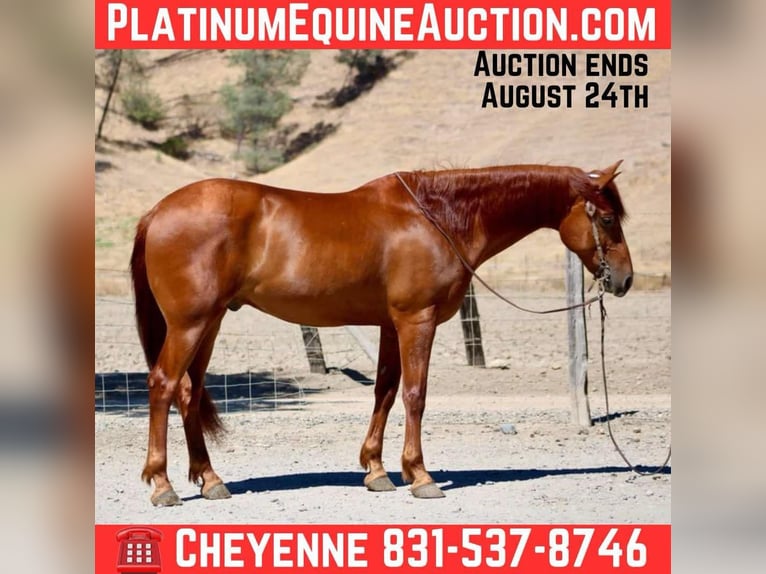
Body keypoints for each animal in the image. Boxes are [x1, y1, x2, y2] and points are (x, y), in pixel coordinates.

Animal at [130, 161, 632, 505]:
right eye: (608, 218)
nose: (625, 280)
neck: (437, 218)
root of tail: (157, 211)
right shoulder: (416, 320)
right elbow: (415, 395)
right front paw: (421, 476)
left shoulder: (391, 325)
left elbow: (386, 392)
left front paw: (376, 471)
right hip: (191, 323)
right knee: (164, 384)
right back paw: (162, 484)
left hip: (209, 323)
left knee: (189, 391)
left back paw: (211, 480)